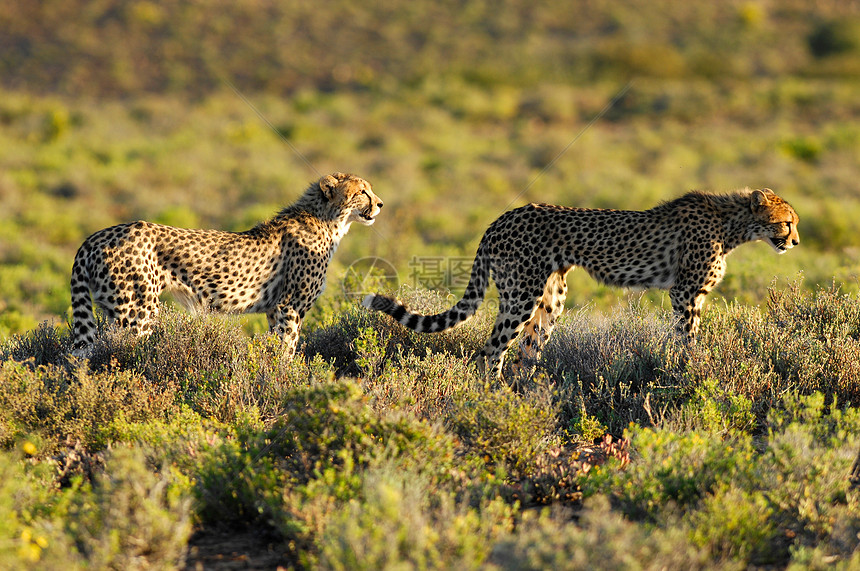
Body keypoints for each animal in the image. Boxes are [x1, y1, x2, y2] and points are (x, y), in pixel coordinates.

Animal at [71, 172, 382, 356]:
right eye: (361, 192)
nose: (380, 204)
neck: (329, 220)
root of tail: (95, 236)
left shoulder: (274, 310)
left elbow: (276, 346)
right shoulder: (290, 306)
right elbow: (288, 350)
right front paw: (287, 380)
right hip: (138, 311)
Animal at [362, 188, 800, 382]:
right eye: (786, 222)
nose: (795, 242)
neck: (733, 224)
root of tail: (503, 216)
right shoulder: (685, 293)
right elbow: (688, 339)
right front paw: (691, 372)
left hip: (551, 297)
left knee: (527, 351)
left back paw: (529, 393)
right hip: (521, 294)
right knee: (490, 350)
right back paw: (494, 395)